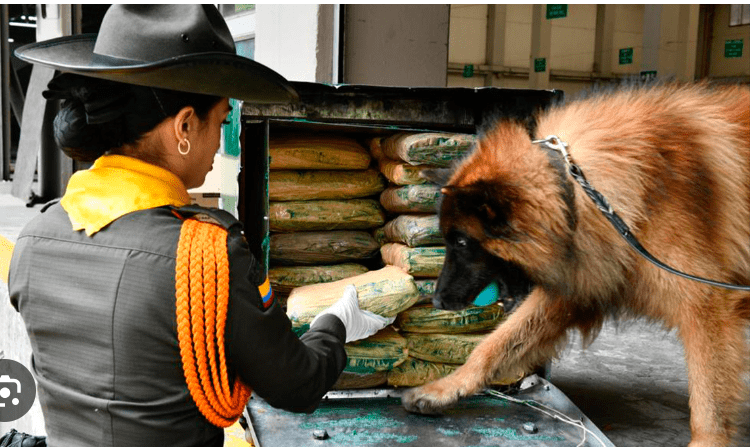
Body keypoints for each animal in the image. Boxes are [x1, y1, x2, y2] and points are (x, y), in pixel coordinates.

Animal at [406, 82, 750, 446]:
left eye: (461, 243)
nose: (437, 301)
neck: (581, 187)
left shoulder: (705, 306)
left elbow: (709, 397)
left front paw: (708, 439)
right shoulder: (577, 285)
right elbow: (495, 345)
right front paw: (444, 389)